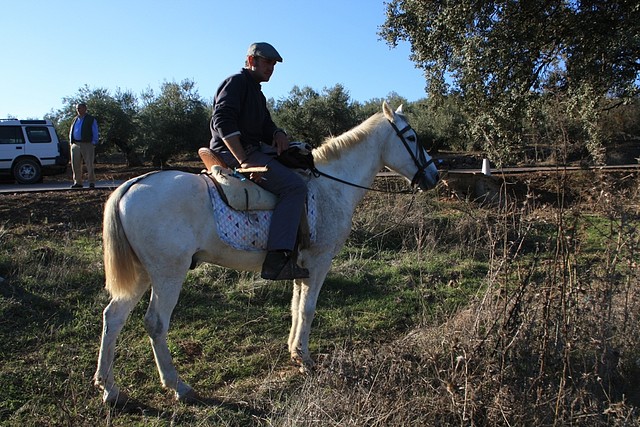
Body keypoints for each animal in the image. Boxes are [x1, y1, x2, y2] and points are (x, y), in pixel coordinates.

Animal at [94, 103, 440, 404]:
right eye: (411, 137)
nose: (434, 175)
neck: (331, 187)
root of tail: (131, 185)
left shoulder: (300, 267)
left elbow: (296, 307)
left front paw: (295, 352)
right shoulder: (319, 262)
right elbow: (308, 309)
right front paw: (305, 360)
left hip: (143, 274)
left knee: (113, 317)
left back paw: (110, 389)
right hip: (167, 274)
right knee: (155, 323)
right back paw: (178, 386)